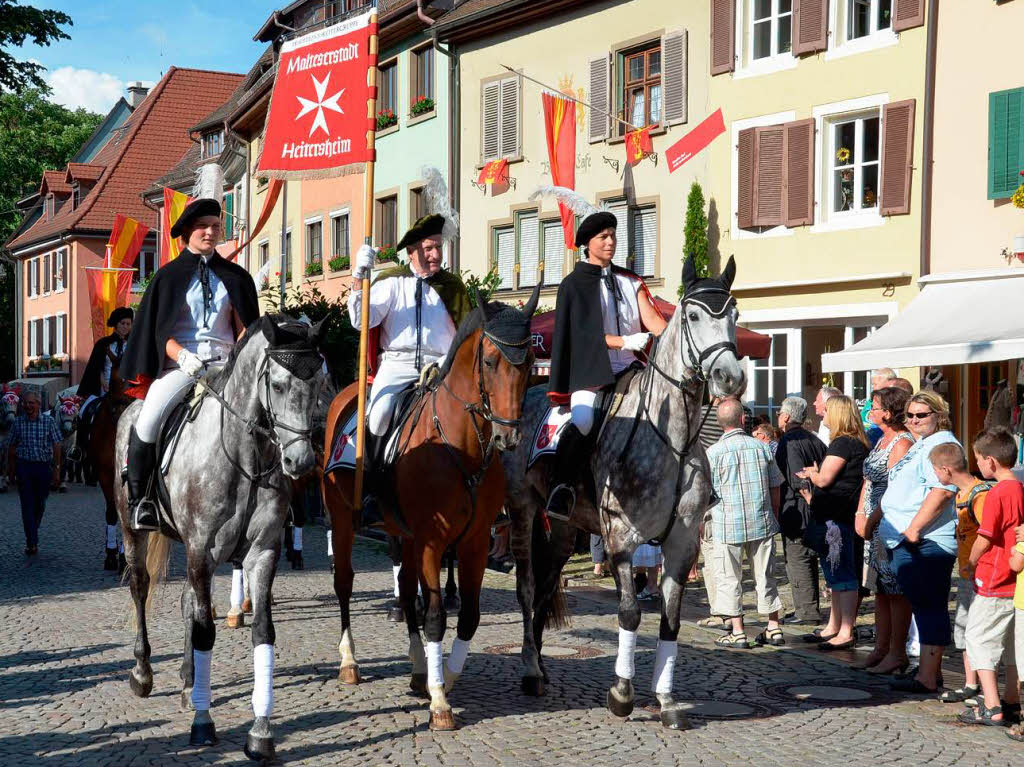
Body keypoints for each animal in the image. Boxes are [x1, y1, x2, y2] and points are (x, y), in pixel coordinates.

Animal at [114, 313, 325, 761]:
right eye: (277, 384)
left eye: (317, 382)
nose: (300, 462)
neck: (246, 457)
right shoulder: (202, 551)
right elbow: (206, 633)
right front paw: (202, 723)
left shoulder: (262, 552)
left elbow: (262, 631)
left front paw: (260, 732)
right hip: (131, 529)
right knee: (141, 587)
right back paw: (143, 672)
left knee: (189, 603)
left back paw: (188, 680)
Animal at [323, 284, 540, 729]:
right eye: (489, 361)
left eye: (529, 363)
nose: (508, 438)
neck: (460, 446)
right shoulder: (431, 542)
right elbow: (436, 616)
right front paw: (440, 701)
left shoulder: (473, 542)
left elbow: (468, 615)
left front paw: (446, 676)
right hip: (343, 520)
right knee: (345, 583)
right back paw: (350, 661)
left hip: (402, 535)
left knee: (406, 593)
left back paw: (419, 668)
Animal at [503, 256, 745, 729]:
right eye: (692, 316)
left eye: (734, 314)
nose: (730, 378)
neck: (672, 441)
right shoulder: (621, 538)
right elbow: (630, 613)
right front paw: (622, 694)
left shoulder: (682, 543)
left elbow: (669, 620)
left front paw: (666, 700)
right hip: (522, 512)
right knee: (526, 587)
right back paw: (528, 669)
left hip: (563, 530)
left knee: (544, 586)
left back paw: (539, 663)